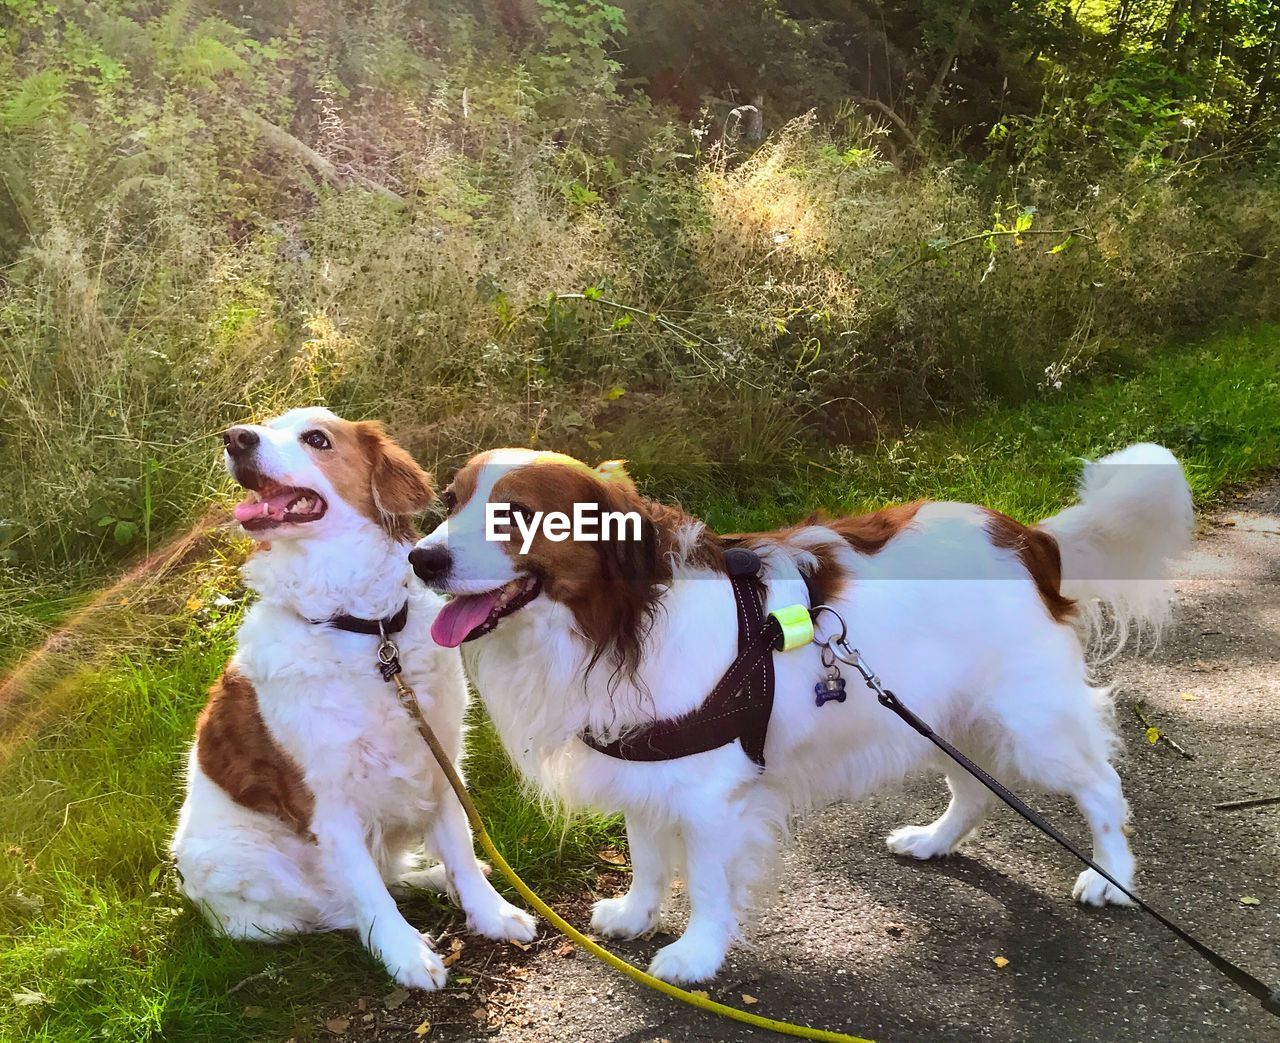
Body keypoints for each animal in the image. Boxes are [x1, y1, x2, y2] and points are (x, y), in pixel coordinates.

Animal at [409, 445, 1187, 982]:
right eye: (448, 501)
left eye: (517, 514)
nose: (421, 559)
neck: (615, 621)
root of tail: (1030, 538)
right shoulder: (647, 768)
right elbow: (648, 856)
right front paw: (636, 914)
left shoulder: (712, 796)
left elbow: (709, 884)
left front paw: (696, 955)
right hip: (938, 714)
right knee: (973, 790)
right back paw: (933, 841)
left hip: (1031, 723)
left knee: (1101, 787)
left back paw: (1110, 875)